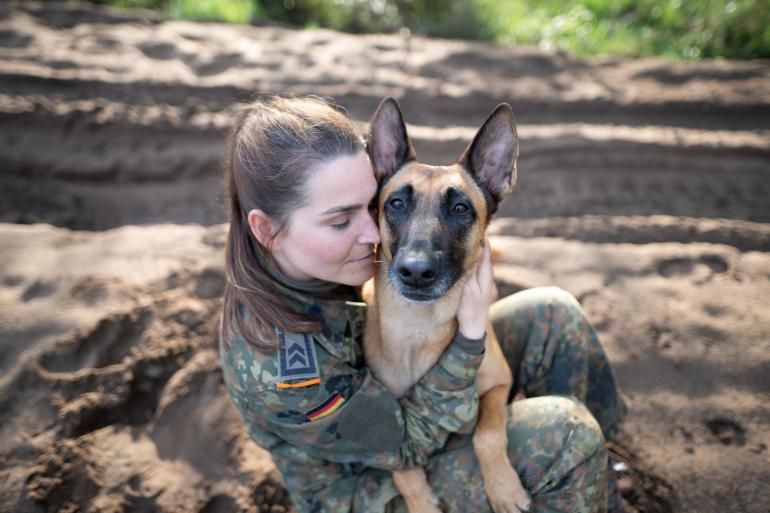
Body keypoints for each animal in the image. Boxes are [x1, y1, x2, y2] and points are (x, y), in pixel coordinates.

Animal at [360, 97, 528, 512]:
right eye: (396, 203)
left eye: (461, 209)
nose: (416, 272)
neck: (419, 329)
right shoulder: (389, 442)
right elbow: (403, 470)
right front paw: (423, 503)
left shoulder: (499, 384)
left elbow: (488, 433)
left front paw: (504, 489)